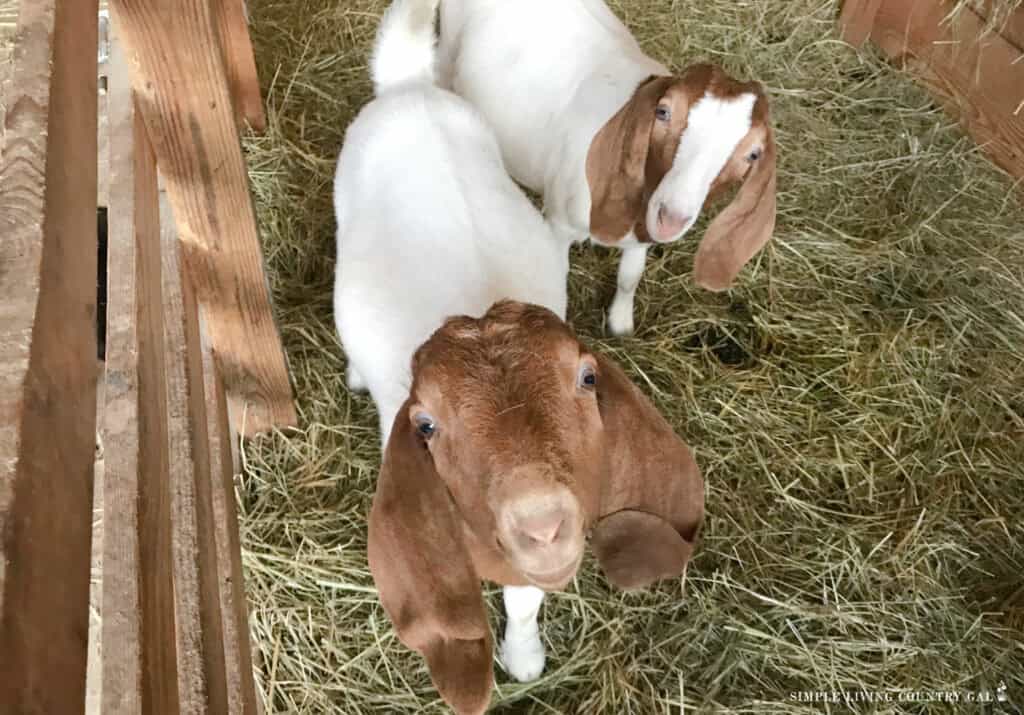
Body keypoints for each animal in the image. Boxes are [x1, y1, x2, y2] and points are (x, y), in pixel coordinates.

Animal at [438, 0, 778, 335]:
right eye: (663, 112)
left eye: (754, 154)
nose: (671, 218)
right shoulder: (559, 224)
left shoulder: (642, 234)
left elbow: (630, 277)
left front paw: (621, 324)